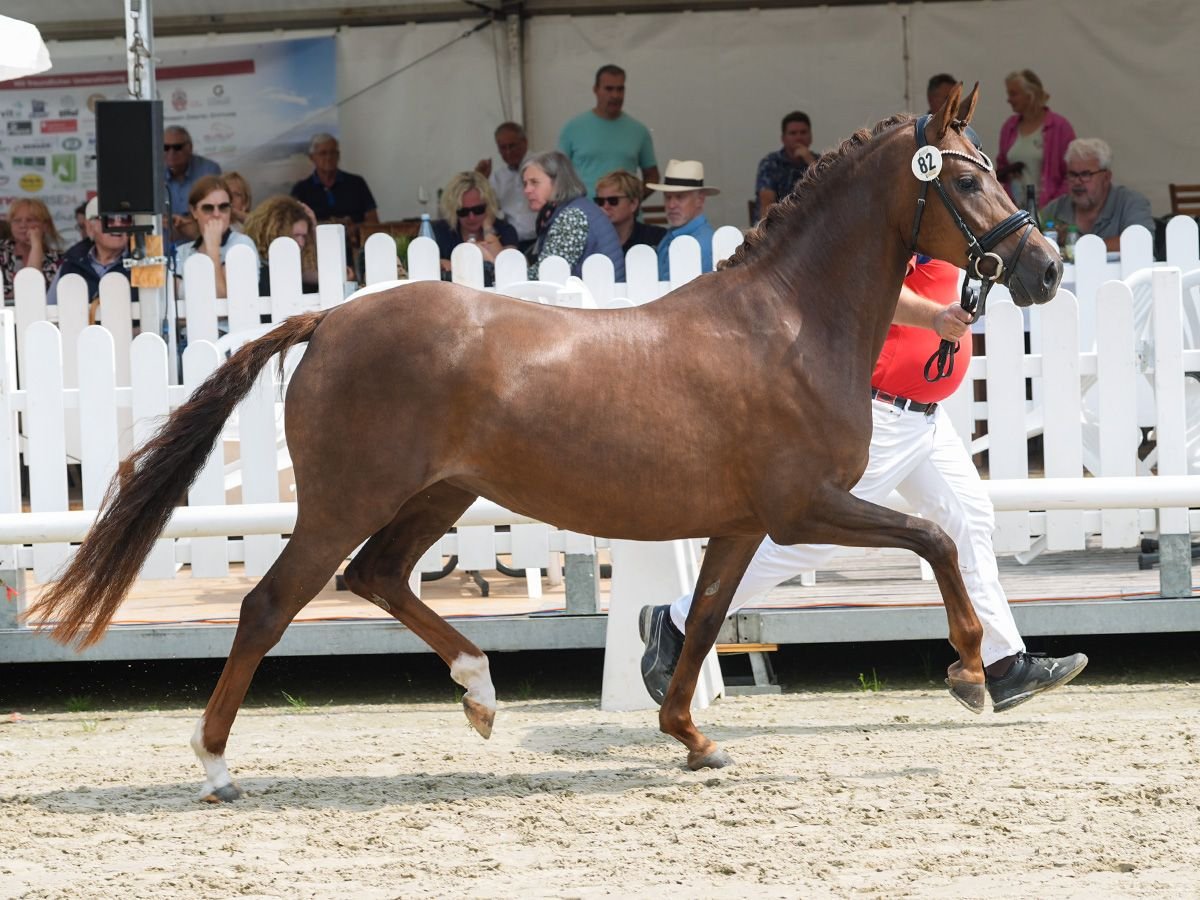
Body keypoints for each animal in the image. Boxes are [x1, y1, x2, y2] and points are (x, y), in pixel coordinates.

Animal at [25, 86, 1060, 801]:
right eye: (966, 176)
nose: (1045, 268)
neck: (790, 324)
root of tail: (330, 318)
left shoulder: (739, 524)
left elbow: (703, 622)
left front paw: (692, 737)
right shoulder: (806, 506)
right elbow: (935, 541)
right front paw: (973, 673)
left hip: (435, 495)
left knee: (377, 578)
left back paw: (481, 692)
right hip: (346, 501)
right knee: (270, 605)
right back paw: (214, 765)